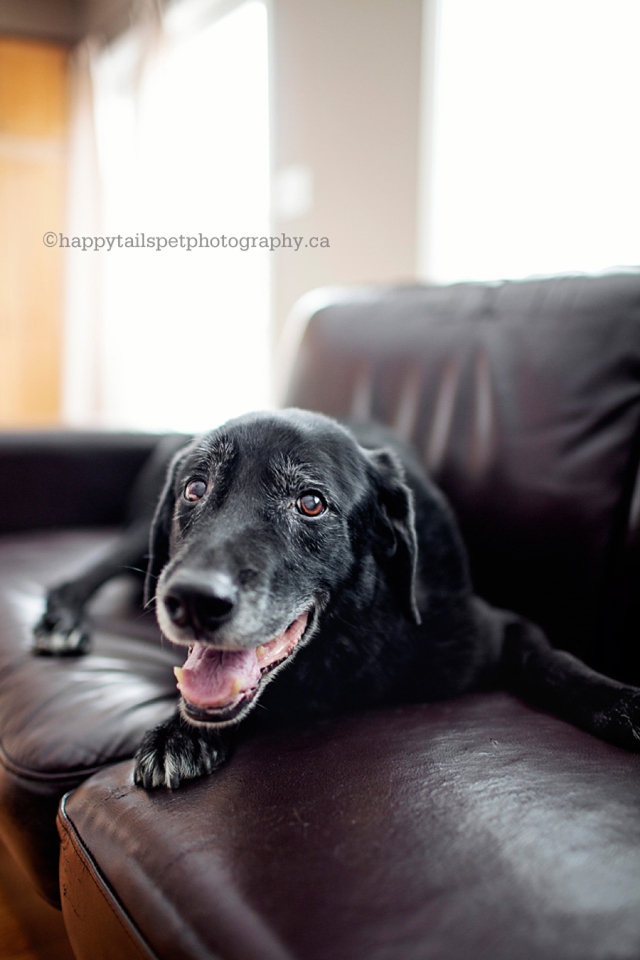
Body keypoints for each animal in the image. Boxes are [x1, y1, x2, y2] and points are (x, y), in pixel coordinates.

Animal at [32, 406, 640, 788]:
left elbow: (554, 661)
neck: (348, 640)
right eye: (196, 489)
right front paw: (181, 732)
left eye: (311, 502)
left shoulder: (494, 627)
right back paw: (61, 620)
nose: (193, 602)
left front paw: (622, 703)